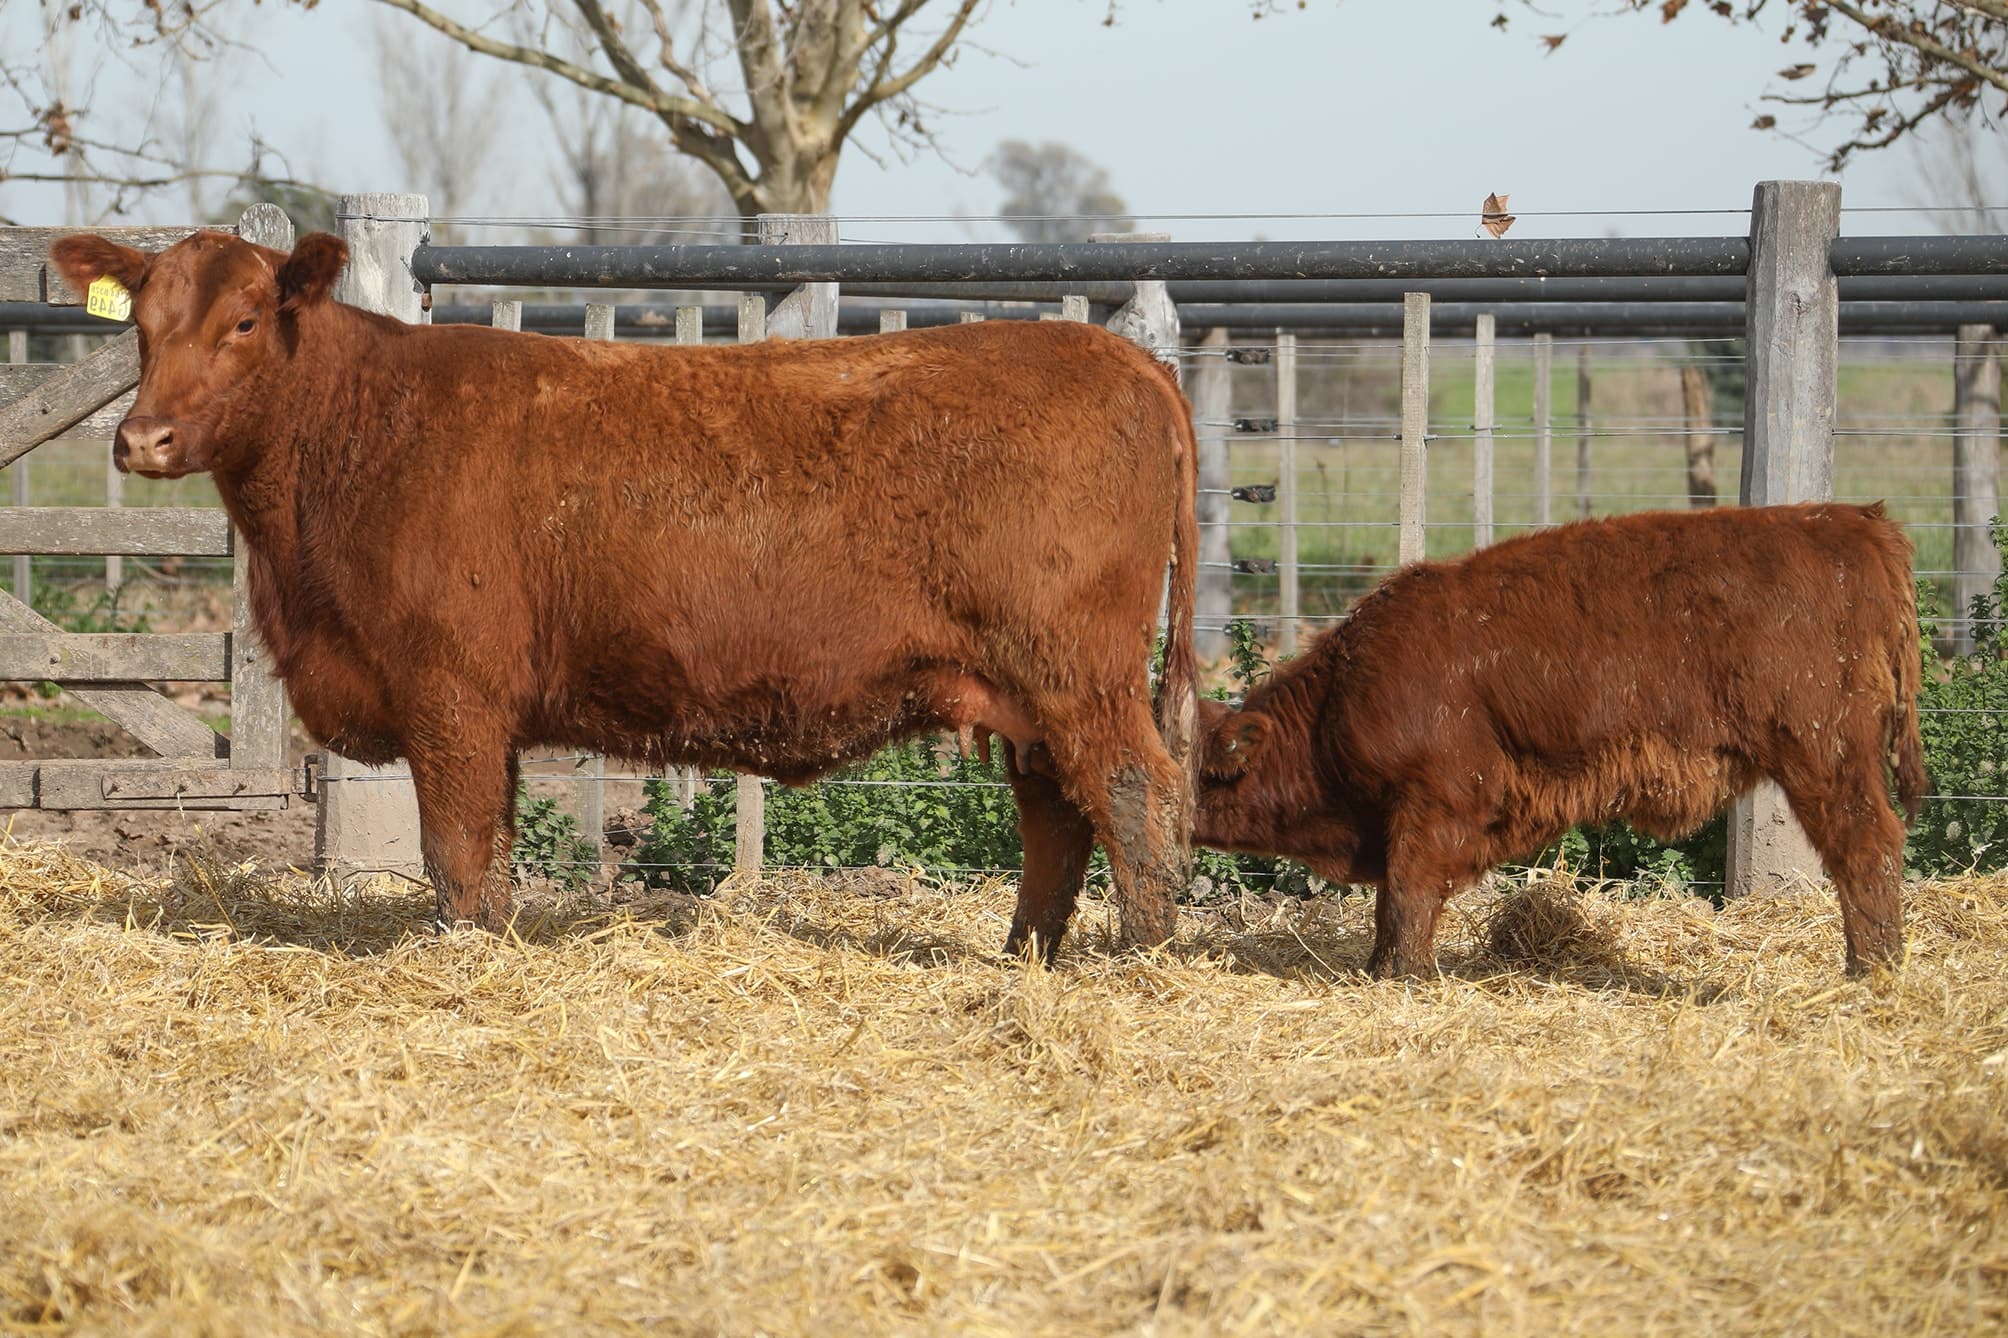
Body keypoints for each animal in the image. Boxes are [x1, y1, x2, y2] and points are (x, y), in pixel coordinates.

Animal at [49, 229, 1199, 958]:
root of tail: (1121, 356)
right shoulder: (483, 713)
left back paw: (1133, 960)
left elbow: (454, 850)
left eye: (246, 321)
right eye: (140, 326)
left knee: (1137, 795)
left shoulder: (449, 693)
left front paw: (460, 959)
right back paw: (1026, 957)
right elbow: (491, 855)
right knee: (1056, 815)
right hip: (1029, 694)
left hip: (1077, 674)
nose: (142, 438)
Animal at [1193, 503, 1925, 979]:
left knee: (1866, 844)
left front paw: (1402, 975)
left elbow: (1407, 896)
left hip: (1824, 758)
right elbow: (1390, 906)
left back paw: (1872, 970)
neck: (1341, 696)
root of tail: (1855, 523)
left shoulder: (1434, 805)